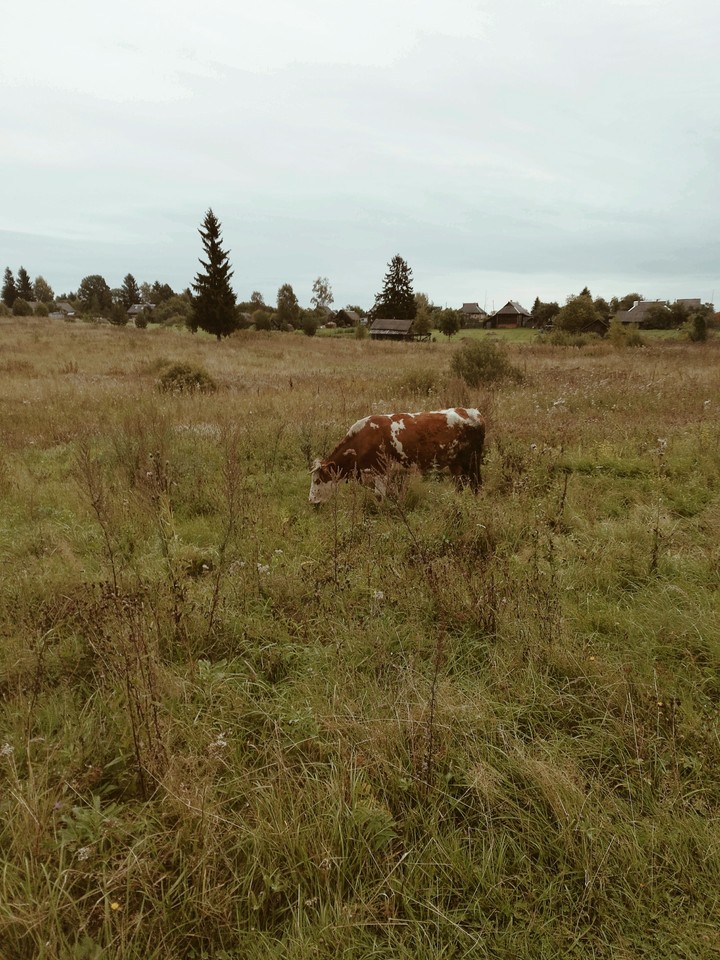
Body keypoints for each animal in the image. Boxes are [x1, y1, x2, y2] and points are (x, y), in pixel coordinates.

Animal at [309, 407, 485, 504]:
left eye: (318, 480)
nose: (311, 501)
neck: (364, 439)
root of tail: (473, 412)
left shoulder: (380, 472)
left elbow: (379, 497)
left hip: (473, 462)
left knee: (476, 486)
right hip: (456, 464)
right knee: (460, 486)